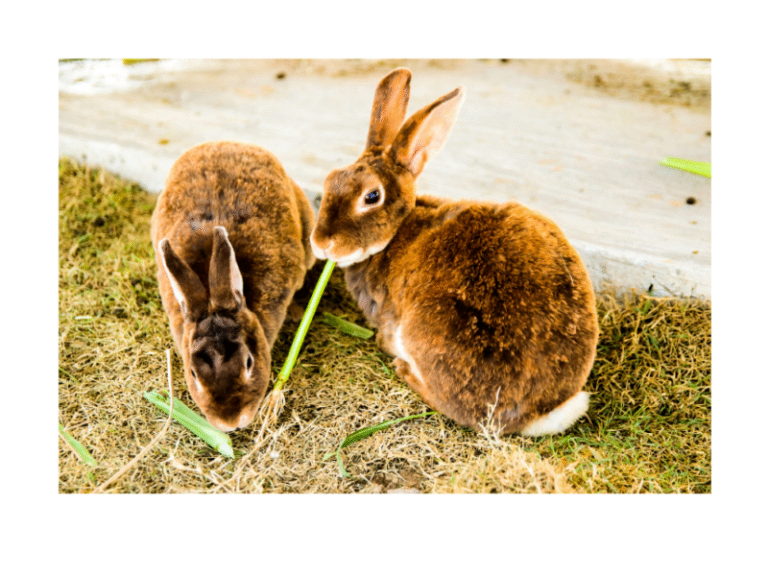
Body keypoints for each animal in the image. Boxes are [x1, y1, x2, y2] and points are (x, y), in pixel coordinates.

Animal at [310, 68, 599, 436]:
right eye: (330, 180)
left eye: (371, 197)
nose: (321, 243)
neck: (399, 231)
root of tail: (539, 413)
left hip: (428, 332)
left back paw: (405, 369)